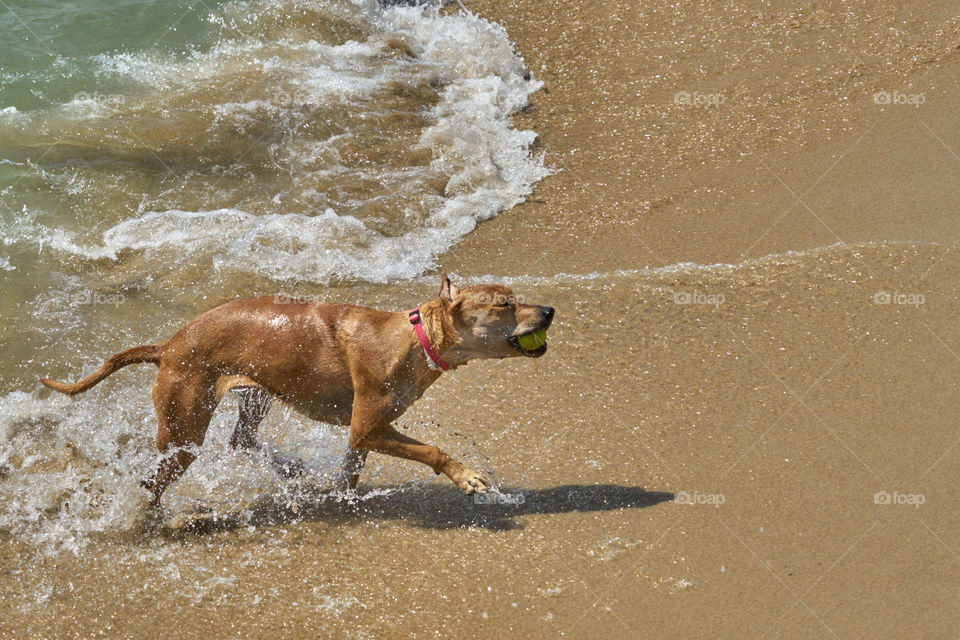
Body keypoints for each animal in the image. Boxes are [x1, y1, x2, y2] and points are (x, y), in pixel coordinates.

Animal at [41, 278, 556, 508]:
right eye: (505, 304)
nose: (550, 310)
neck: (413, 340)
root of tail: (169, 345)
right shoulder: (368, 427)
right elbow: (432, 449)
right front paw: (467, 477)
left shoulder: (364, 432)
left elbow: (351, 470)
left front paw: (339, 497)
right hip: (184, 426)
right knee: (156, 478)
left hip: (256, 394)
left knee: (241, 439)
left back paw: (291, 471)